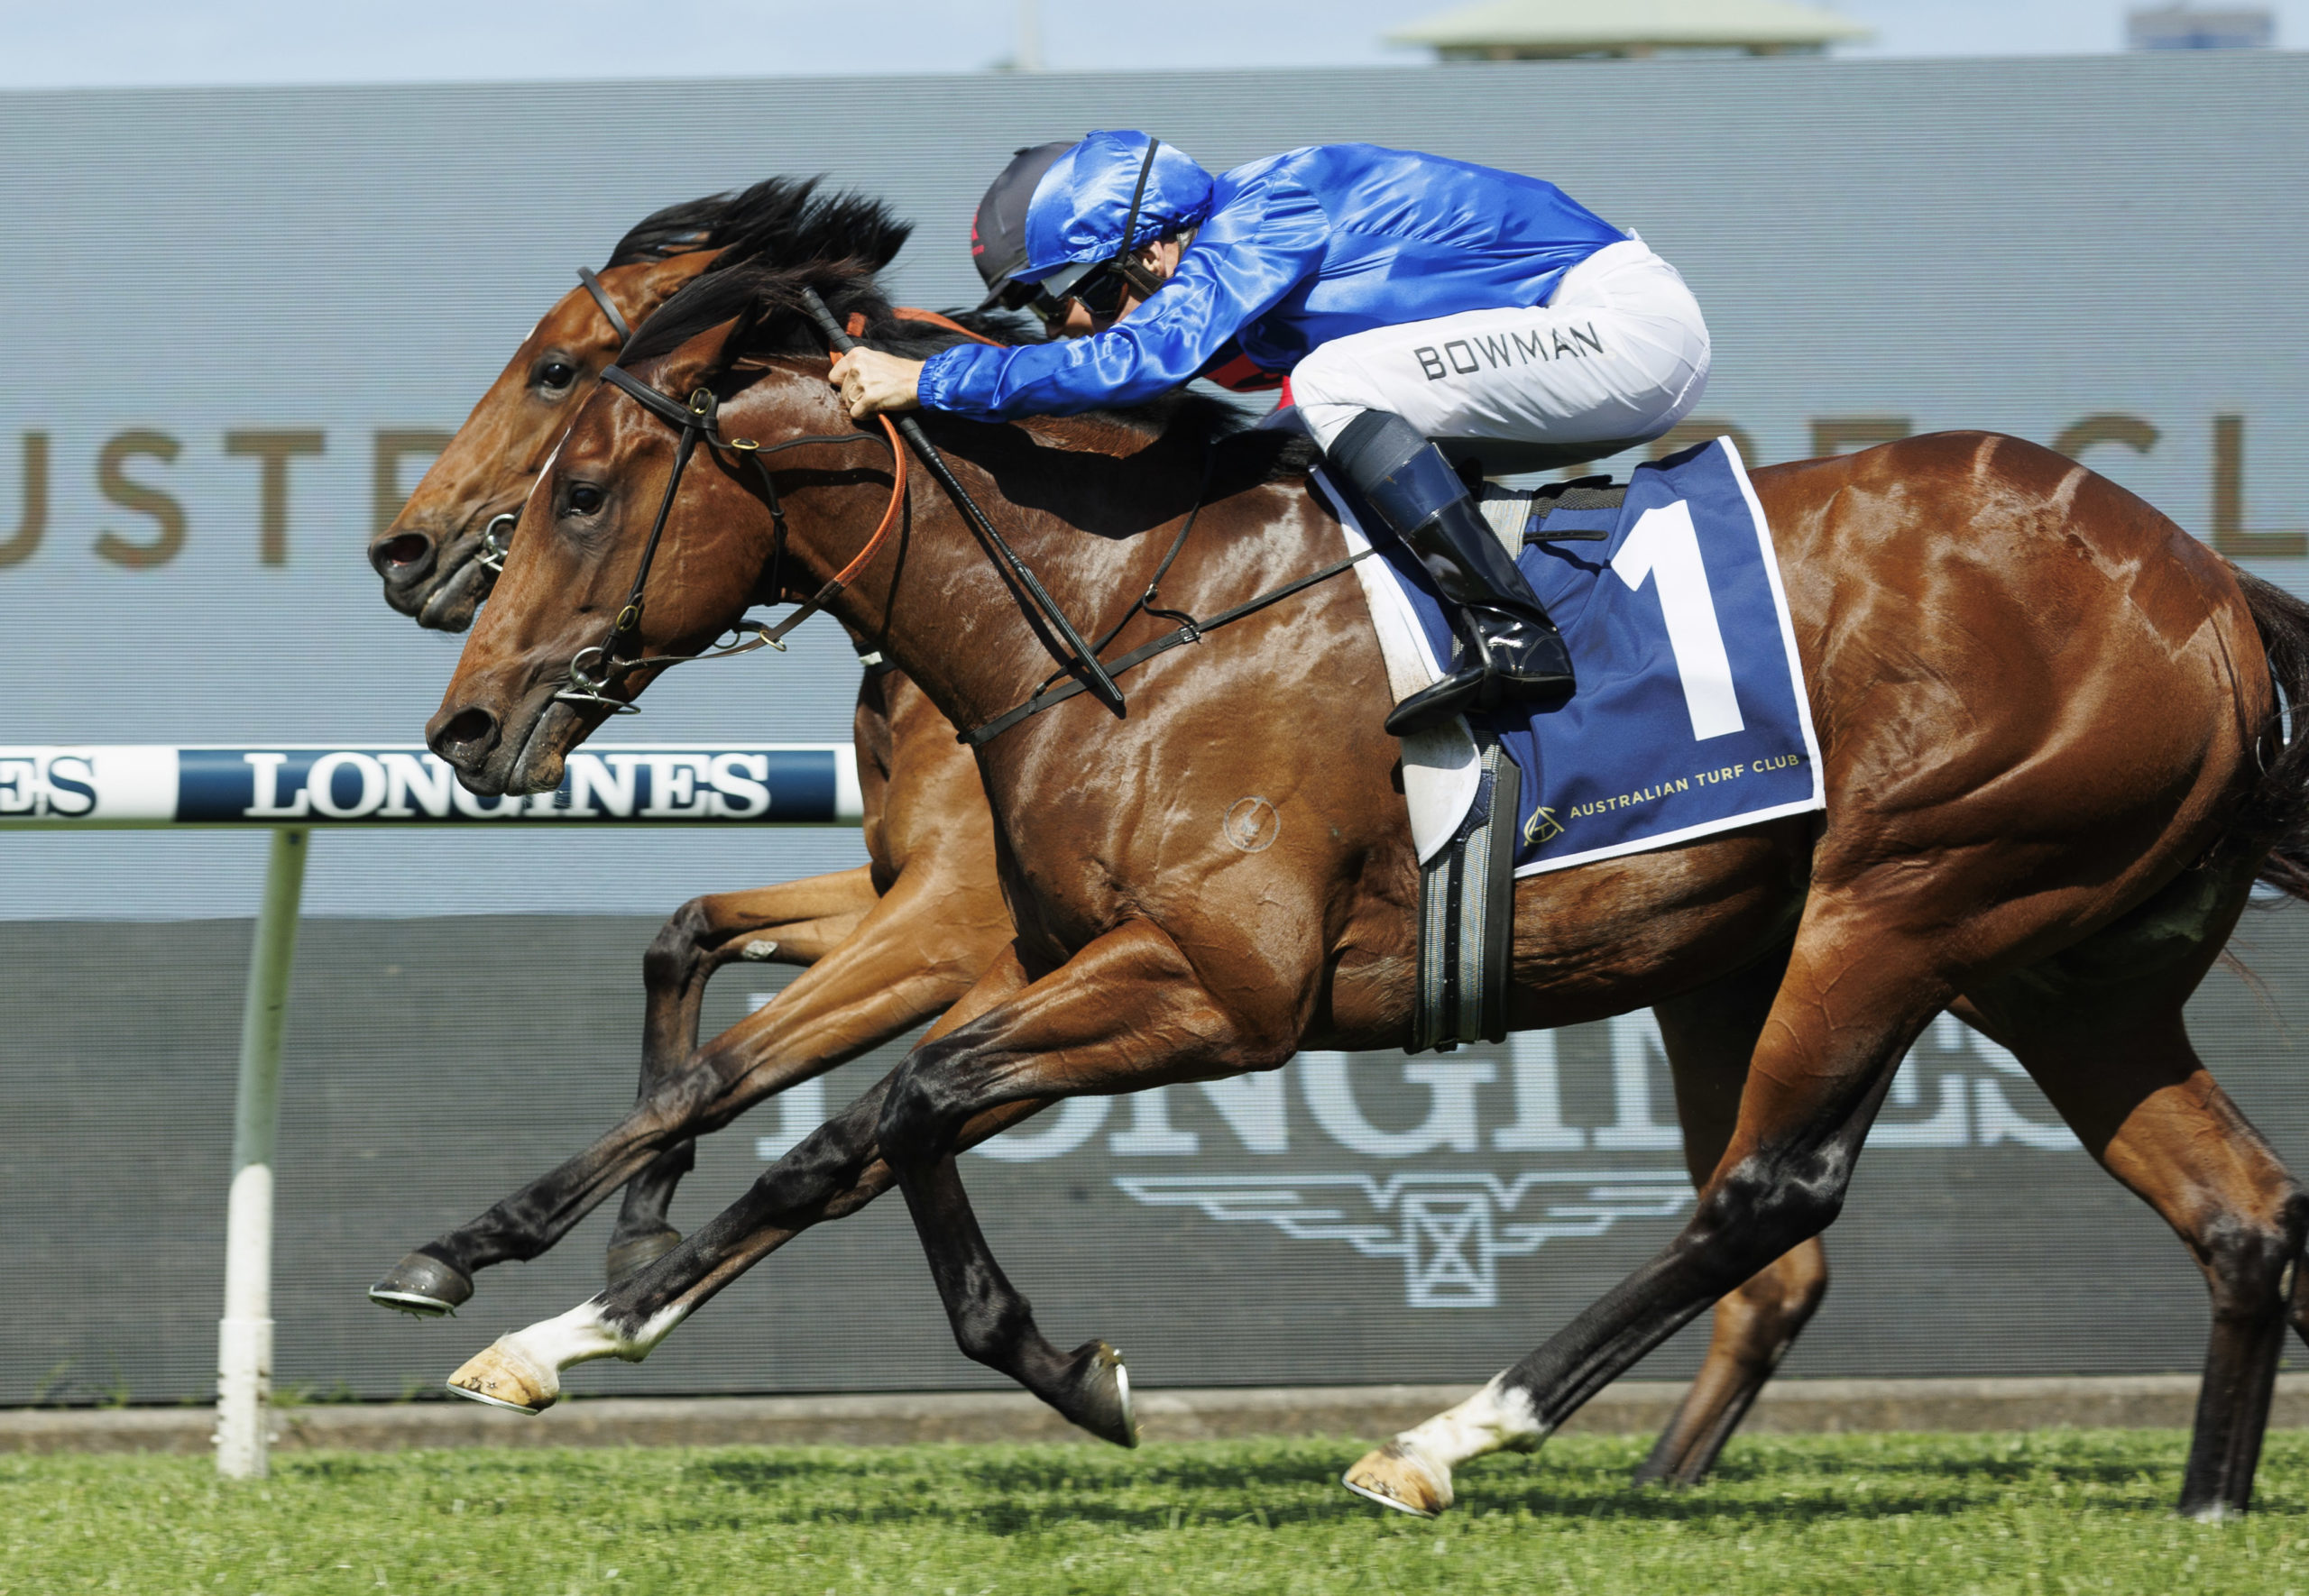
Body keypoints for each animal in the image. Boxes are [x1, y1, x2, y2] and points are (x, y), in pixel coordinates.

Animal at [430, 260, 2309, 1519]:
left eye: (580, 478)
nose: (462, 717)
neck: (1125, 608)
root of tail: (2208, 586)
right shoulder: (1061, 956)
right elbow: (866, 1122)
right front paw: (571, 1307)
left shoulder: (1214, 984)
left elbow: (873, 1113)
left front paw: (557, 1305)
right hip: (2064, 967)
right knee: (2241, 1210)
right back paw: (2206, 1509)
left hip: (1908, 898)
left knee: (1773, 1195)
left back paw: (1446, 1439)